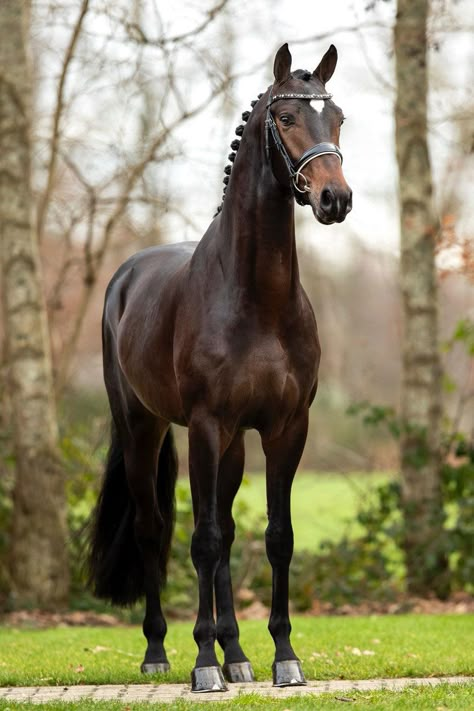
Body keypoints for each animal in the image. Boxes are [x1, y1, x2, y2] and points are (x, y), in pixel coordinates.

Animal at [90, 41, 352, 692]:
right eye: (286, 117)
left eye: (337, 118)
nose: (334, 199)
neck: (257, 300)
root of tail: (125, 276)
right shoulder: (206, 425)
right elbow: (202, 540)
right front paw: (202, 663)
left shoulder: (285, 429)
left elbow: (276, 537)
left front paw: (283, 656)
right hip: (144, 429)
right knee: (155, 528)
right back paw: (161, 652)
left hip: (232, 442)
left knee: (228, 529)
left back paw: (237, 654)